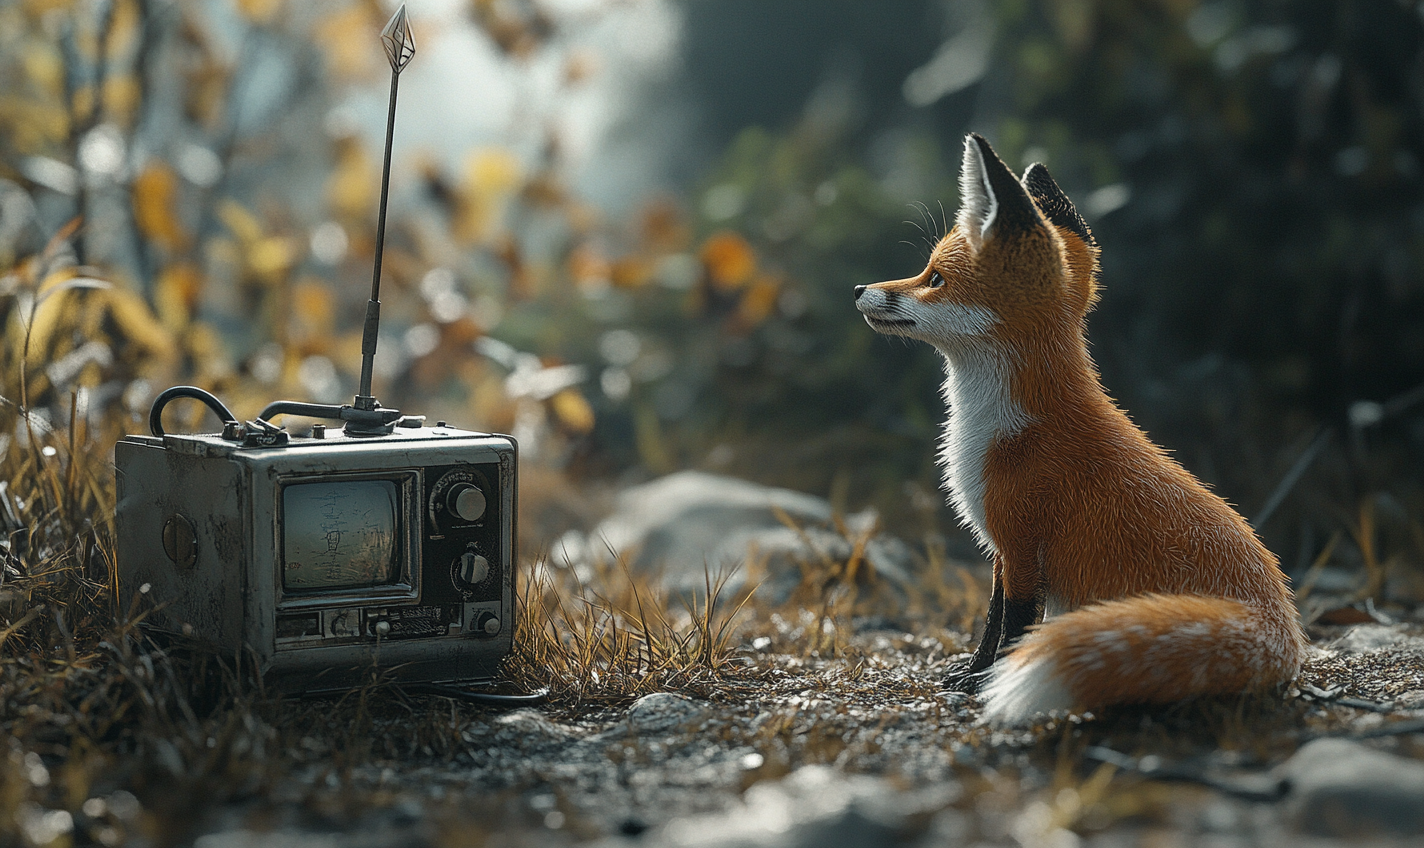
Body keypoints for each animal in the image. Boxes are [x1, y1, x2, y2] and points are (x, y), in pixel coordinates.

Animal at [854, 134, 1307, 723]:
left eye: (934, 279)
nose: (859, 287)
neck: (997, 433)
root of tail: (1287, 632)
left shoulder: (1023, 543)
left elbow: (1015, 625)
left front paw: (985, 683)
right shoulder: (1002, 550)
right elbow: (992, 621)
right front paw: (971, 673)